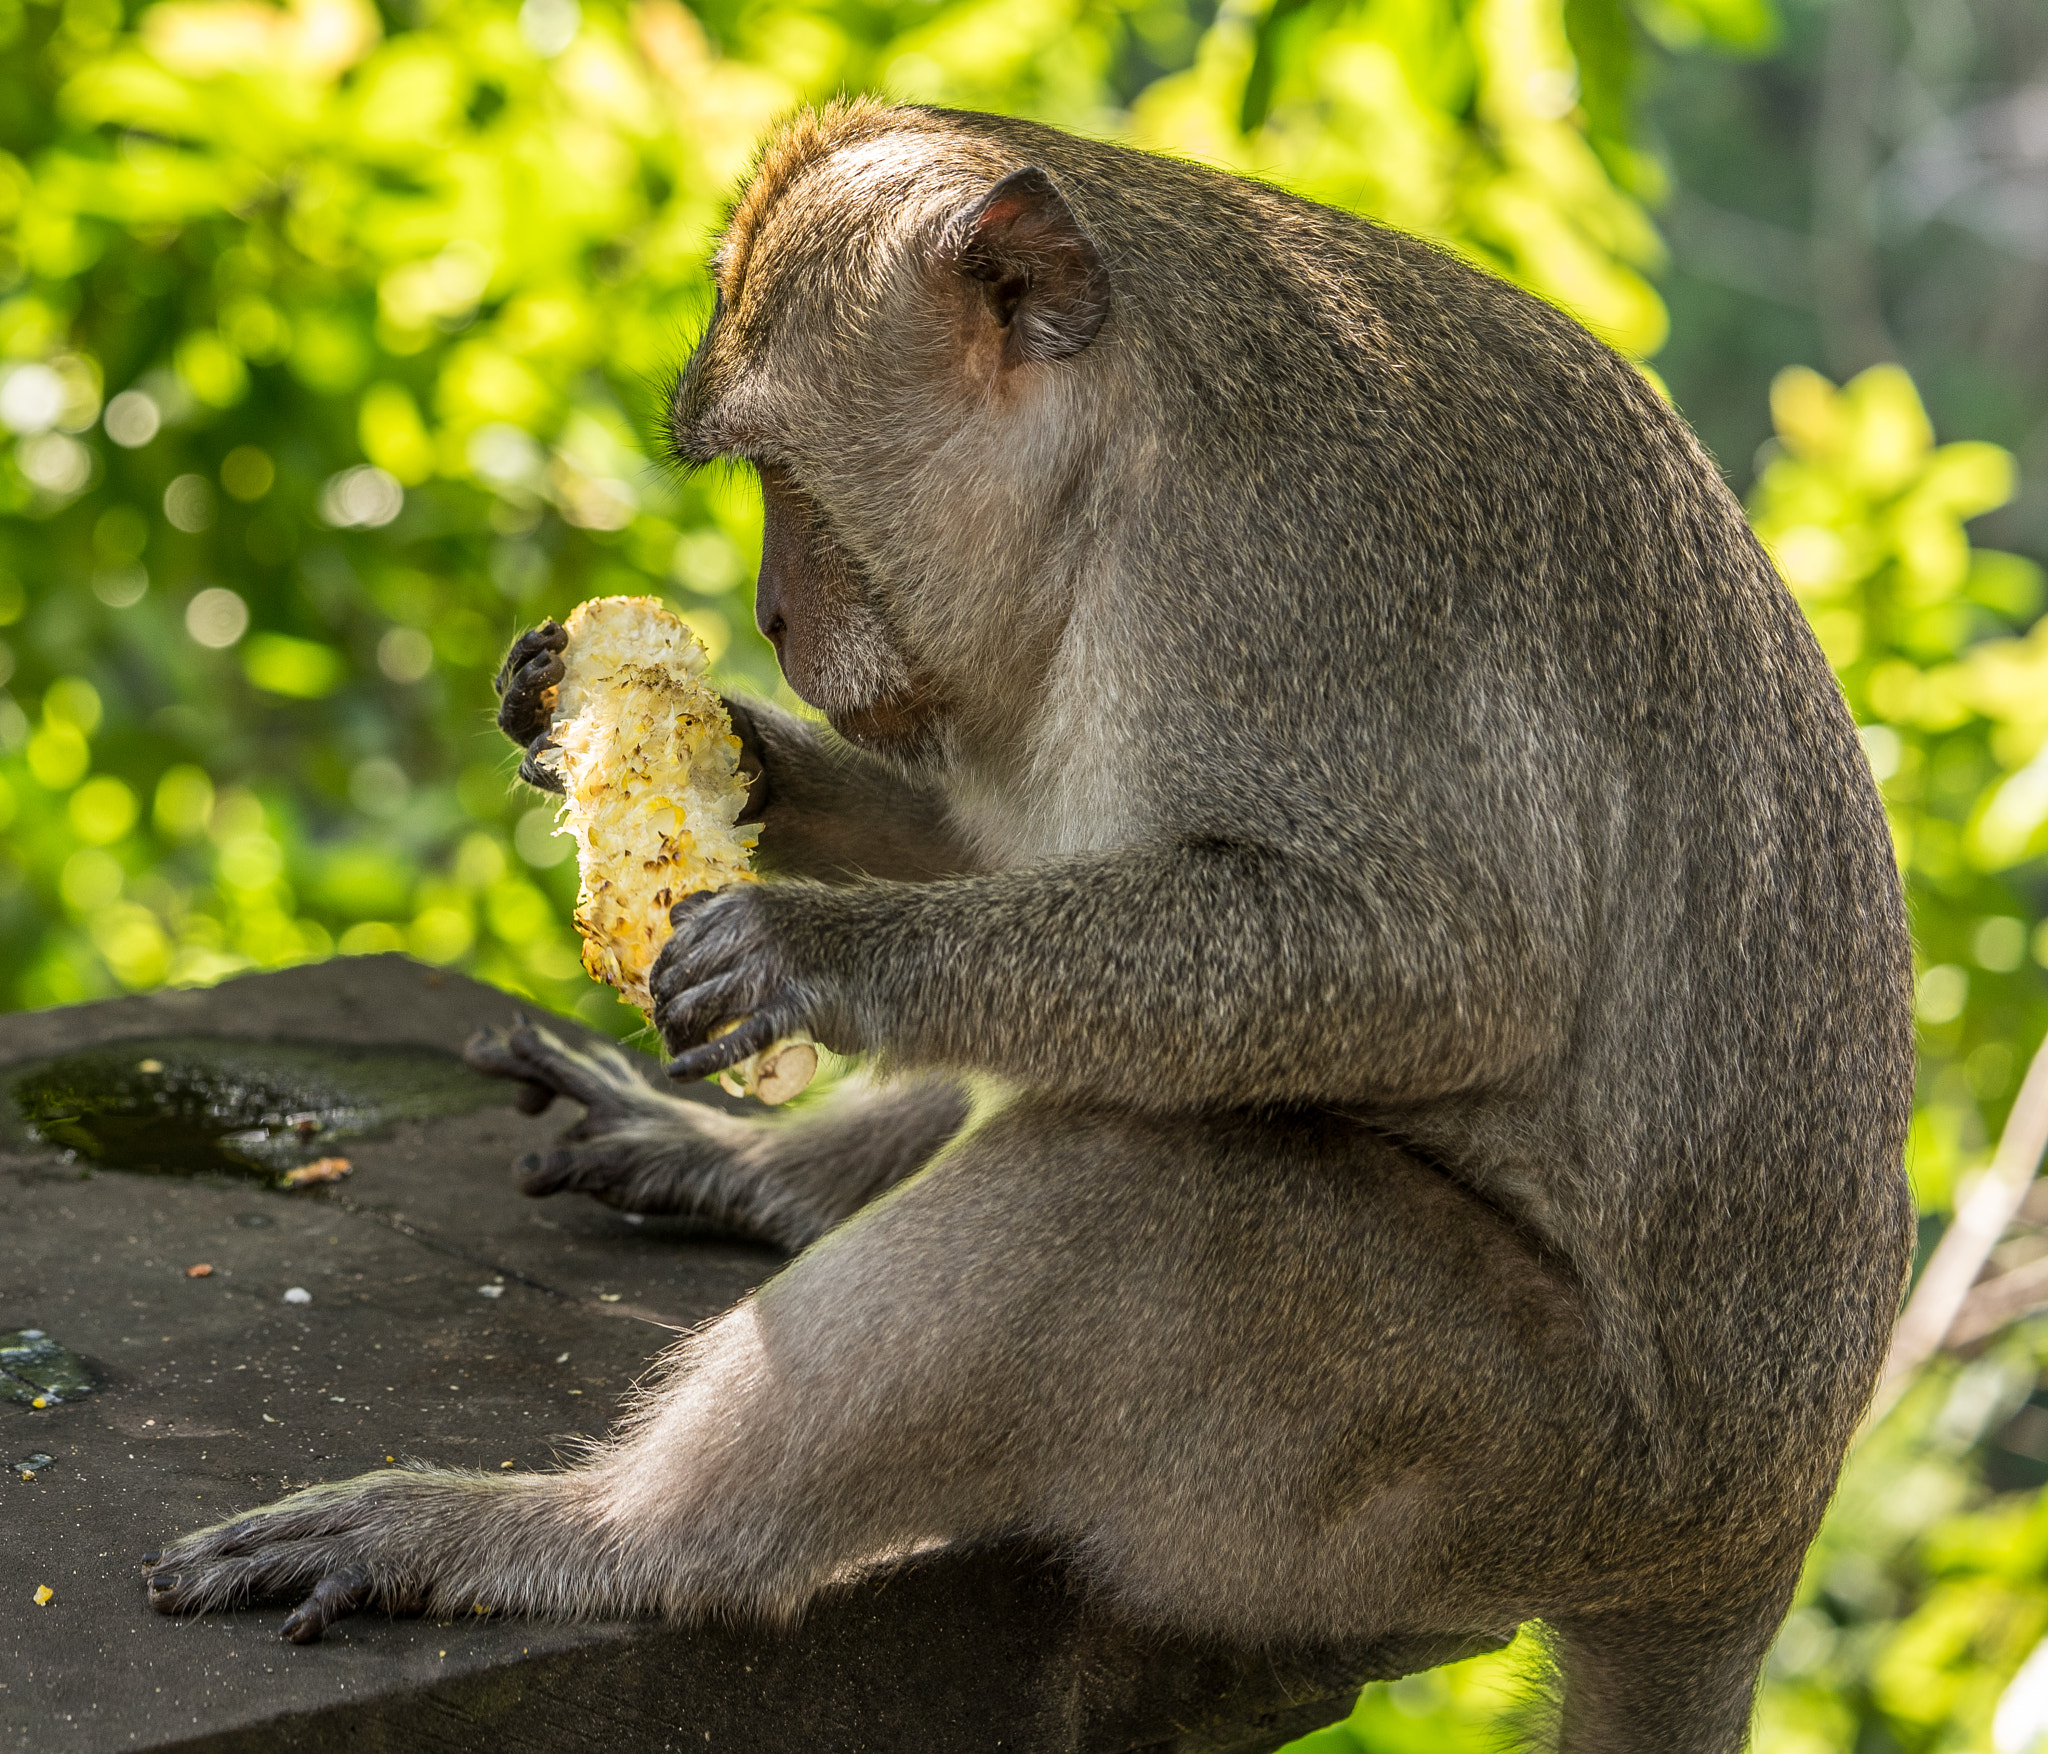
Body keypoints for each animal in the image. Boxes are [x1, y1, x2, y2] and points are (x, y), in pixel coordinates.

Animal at [148, 99, 1916, 1754]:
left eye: (784, 475)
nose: (772, 614)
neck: (1113, 456)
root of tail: (1760, 1526)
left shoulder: (1278, 580)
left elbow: (1447, 964)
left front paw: (811, 951)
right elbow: (991, 846)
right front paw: (678, 737)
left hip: (1491, 1466)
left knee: (1145, 1194)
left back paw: (598, 1536)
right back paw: (766, 1178)